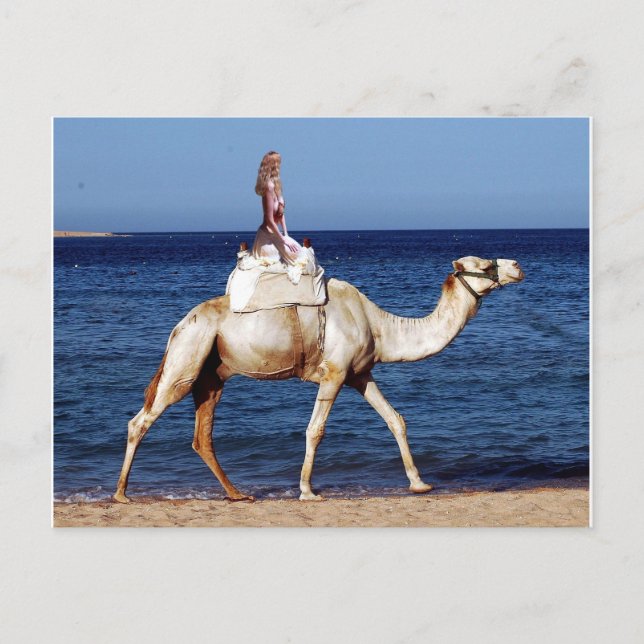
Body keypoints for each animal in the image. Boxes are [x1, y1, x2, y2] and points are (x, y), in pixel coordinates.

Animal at [114, 255, 524, 503]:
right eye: (483, 264)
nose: (517, 265)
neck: (379, 327)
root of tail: (178, 326)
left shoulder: (361, 374)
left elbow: (395, 420)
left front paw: (419, 483)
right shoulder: (335, 372)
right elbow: (315, 430)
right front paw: (307, 491)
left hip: (211, 375)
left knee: (203, 436)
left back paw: (238, 493)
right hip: (187, 359)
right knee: (141, 420)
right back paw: (121, 494)